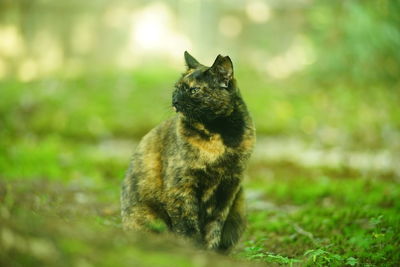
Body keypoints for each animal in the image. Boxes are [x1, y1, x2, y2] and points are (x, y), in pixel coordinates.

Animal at [120, 50, 255, 253]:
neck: (219, 136)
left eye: (194, 90)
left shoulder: (227, 189)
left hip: (239, 207)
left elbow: (214, 228)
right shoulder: (181, 186)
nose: (175, 101)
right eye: (176, 88)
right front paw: (192, 250)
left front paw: (210, 252)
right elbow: (188, 227)